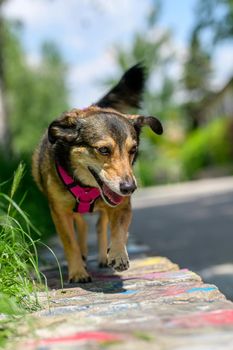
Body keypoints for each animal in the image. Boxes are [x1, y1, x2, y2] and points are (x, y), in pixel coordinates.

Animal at [32, 64, 163, 284]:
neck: (86, 187)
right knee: (82, 225)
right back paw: (84, 257)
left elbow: (119, 229)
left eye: (133, 150)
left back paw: (102, 256)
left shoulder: (121, 205)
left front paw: (118, 254)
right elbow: (70, 242)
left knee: (101, 226)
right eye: (103, 150)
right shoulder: (59, 212)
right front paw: (77, 272)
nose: (130, 188)